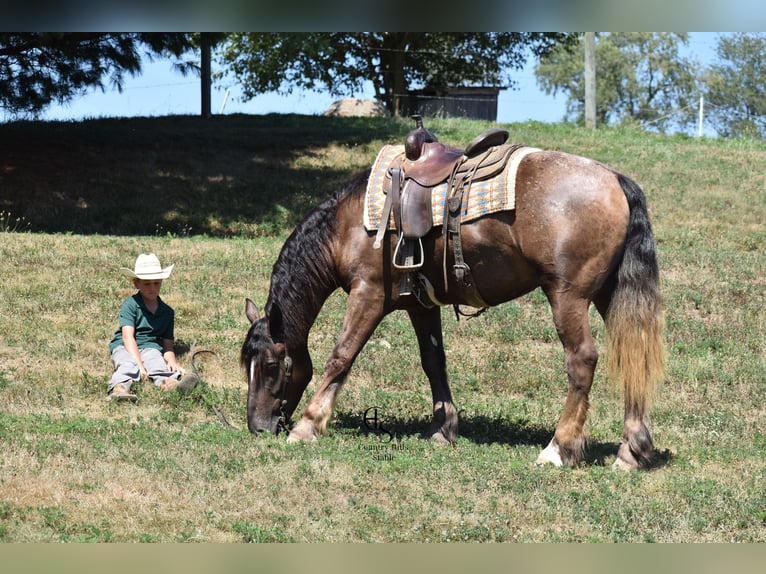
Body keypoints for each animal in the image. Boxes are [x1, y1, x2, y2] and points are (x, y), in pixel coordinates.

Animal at [240, 132, 666, 471]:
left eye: (272, 366)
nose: (258, 428)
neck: (349, 225)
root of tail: (616, 179)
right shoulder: (421, 304)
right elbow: (434, 362)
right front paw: (443, 429)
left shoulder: (369, 294)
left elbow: (341, 356)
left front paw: (307, 425)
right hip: (610, 293)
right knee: (634, 355)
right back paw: (631, 451)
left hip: (568, 296)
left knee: (582, 361)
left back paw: (558, 449)